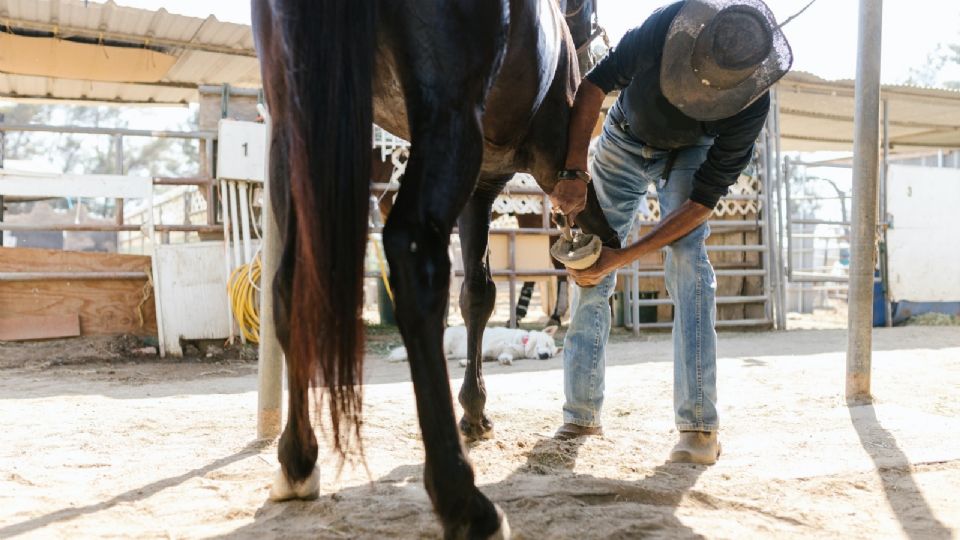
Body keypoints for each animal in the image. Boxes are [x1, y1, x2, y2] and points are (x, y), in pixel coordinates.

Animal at [386, 324, 560, 368]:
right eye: (546, 343)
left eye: (551, 354)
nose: (546, 356)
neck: (520, 343)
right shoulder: (486, 346)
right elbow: (478, 355)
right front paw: (466, 363)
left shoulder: (505, 352)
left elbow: (503, 357)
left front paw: (504, 361)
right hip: (445, 343)